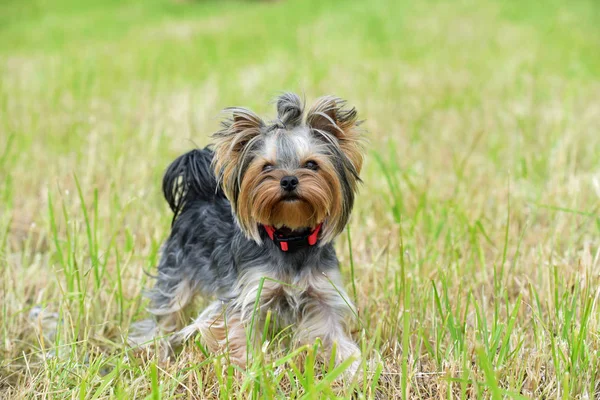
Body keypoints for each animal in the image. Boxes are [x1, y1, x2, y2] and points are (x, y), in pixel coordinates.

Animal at [131, 92, 364, 374]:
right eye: (266, 167)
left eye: (311, 164)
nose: (288, 180)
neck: (290, 238)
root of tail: (199, 195)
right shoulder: (249, 293)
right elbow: (239, 332)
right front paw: (248, 370)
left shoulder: (322, 294)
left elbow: (332, 334)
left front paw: (353, 370)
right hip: (176, 271)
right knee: (165, 313)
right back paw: (155, 352)